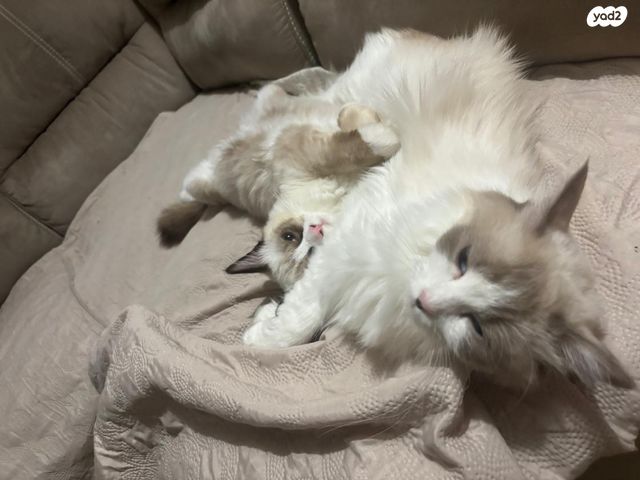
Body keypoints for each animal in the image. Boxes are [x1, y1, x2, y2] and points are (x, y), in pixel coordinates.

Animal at [157, 72, 399, 290]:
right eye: (311, 253)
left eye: (289, 236)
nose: (315, 230)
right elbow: (375, 141)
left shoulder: (305, 149)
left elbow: (353, 125)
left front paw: (358, 116)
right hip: (204, 187)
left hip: (268, 100)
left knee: (282, 83)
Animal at [241, 27, 634, 392]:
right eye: (463, 260)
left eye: (476, 326)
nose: (424, 299)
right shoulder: (343, 251)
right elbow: (297, 323)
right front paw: (258, 329)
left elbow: (301, 320)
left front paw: (262, 320)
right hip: (352, 88)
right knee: (315, 84)